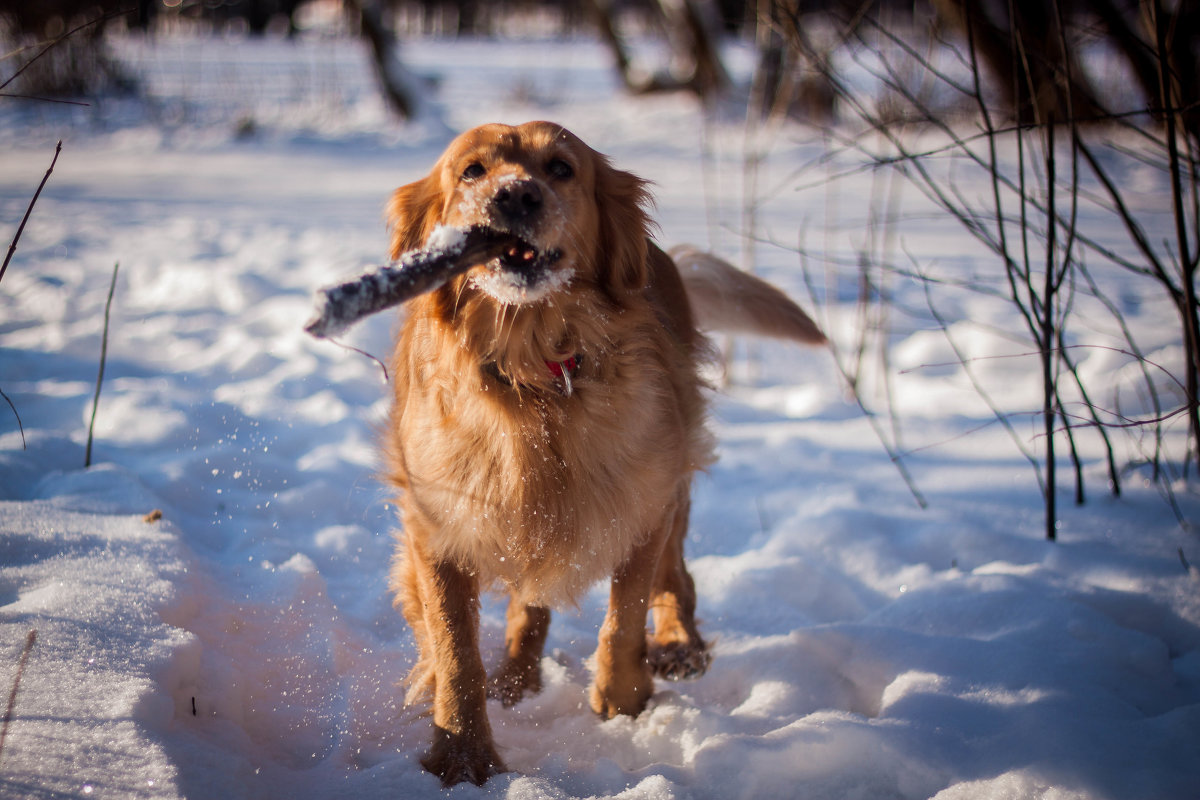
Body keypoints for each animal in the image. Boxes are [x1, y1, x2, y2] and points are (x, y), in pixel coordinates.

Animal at [384, 122, 825, 786]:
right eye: (472, 171)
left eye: (562, 168)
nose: (515, 196)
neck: (533, 375)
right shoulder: (438, 526)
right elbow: (455, 649)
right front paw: (463, 756)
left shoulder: (640, 506)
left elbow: (624, 618)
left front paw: (624, 704)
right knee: (529, 608)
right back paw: (517, 680)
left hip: (671, 478)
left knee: (676, 576)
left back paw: (678, 644)